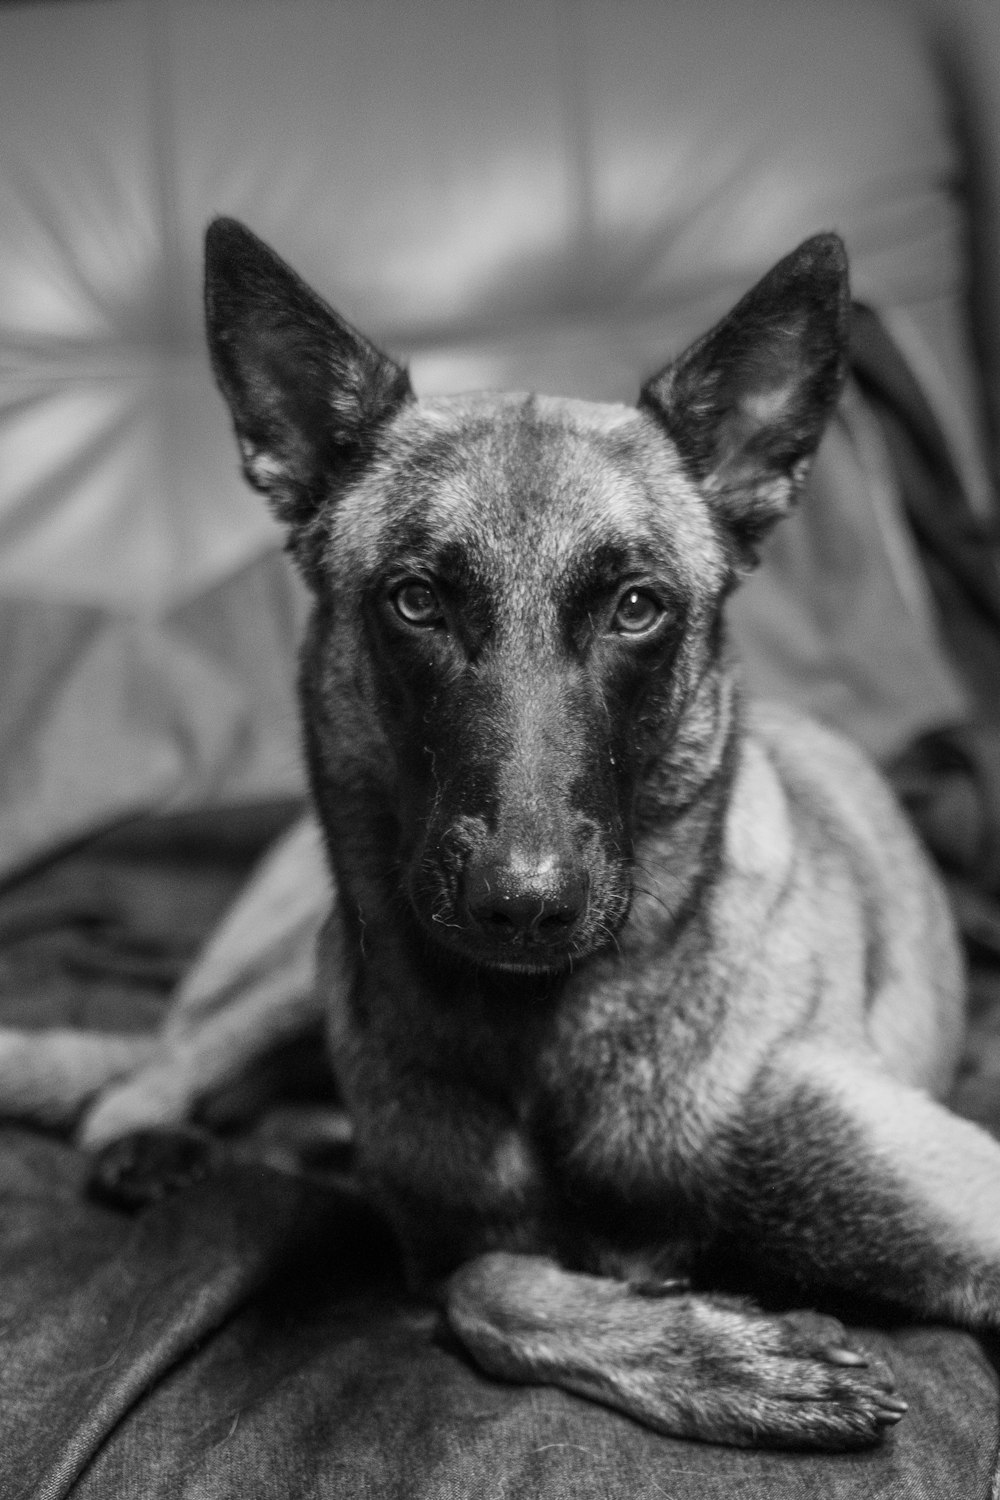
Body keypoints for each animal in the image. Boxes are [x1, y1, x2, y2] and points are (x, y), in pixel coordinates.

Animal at [3, 217, 995, 1446]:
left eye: (636, 608)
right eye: (416, 601)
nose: (524, 905)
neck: (543, 1033)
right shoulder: (449, 1252)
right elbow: (488, 1285)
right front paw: (724, 1354)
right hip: (307, 961)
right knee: (143, 1078)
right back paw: (156, 1141)